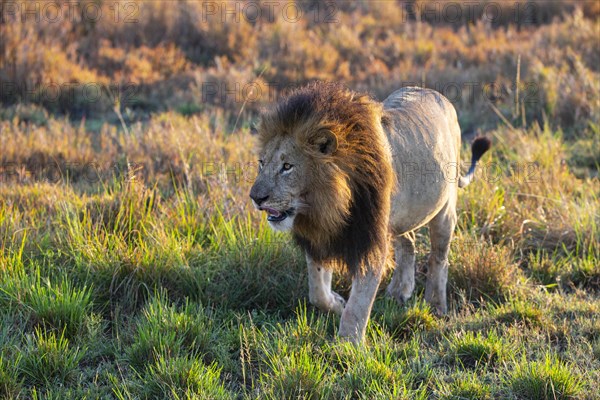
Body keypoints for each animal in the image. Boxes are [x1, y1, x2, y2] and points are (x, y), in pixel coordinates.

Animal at [251, 82, 490, 344]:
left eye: (287, 166)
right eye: (262, 163)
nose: (256, 198)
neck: (325, 205)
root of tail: (437, 95)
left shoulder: (370, 239)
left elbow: (358, 304)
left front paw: (347, 345)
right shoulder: (321, 235)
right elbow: (317, 291)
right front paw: (337, 303)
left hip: (444, 209)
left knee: (438, 257)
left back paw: (436, 305)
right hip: (399, 217)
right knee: (409, 241)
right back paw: (399, 291)